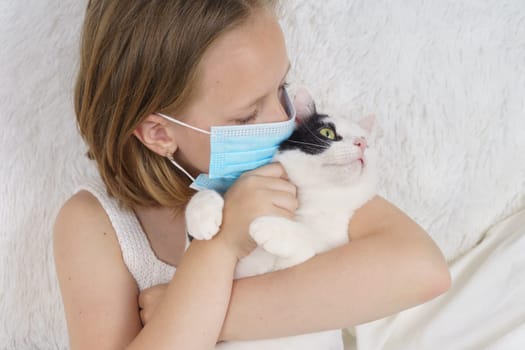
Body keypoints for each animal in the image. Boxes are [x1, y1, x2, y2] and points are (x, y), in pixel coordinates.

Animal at [184, 88, 376, 350]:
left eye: (366, 141)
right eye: (327, 133)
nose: (362, 144)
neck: (309, 198)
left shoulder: (317, 251)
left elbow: (306, 241)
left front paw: (269, 227)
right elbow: (207, 199)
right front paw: (202, 217)